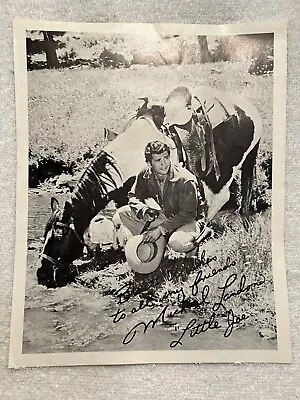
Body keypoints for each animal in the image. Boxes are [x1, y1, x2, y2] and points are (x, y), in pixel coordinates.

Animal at [38, 87, 262, 288]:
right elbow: (119, 218)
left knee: (232, 196)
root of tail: (248, 106)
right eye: (44, 233)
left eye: (58, 237)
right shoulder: (126, 195)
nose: (42, 274)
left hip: (241, 163)